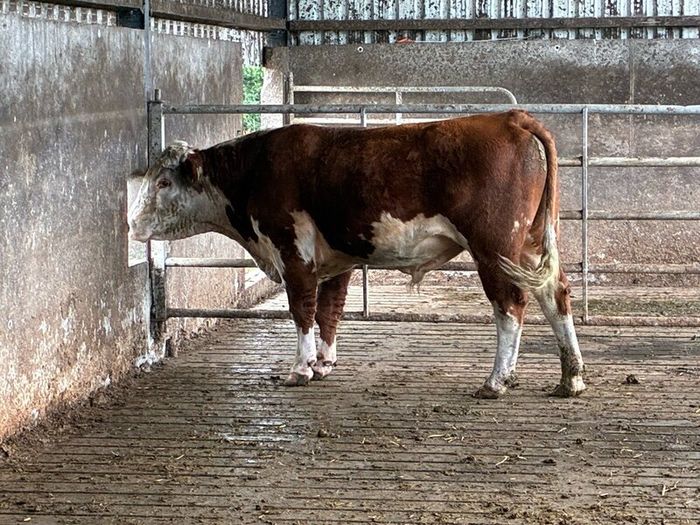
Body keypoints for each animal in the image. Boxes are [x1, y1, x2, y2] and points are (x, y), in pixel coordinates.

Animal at [128, 110, 585, 398]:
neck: (255, 171)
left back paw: (497, 381)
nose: (132, 225)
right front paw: (323, 364)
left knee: (510, 304)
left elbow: (302, 310)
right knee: (555, 293)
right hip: (529, 244)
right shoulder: (335, 261)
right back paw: (570, 378)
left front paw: (300, 369)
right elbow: (329, 310)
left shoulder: (292, 252)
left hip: (494, 245)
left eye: (164, 182)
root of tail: (511, 117)